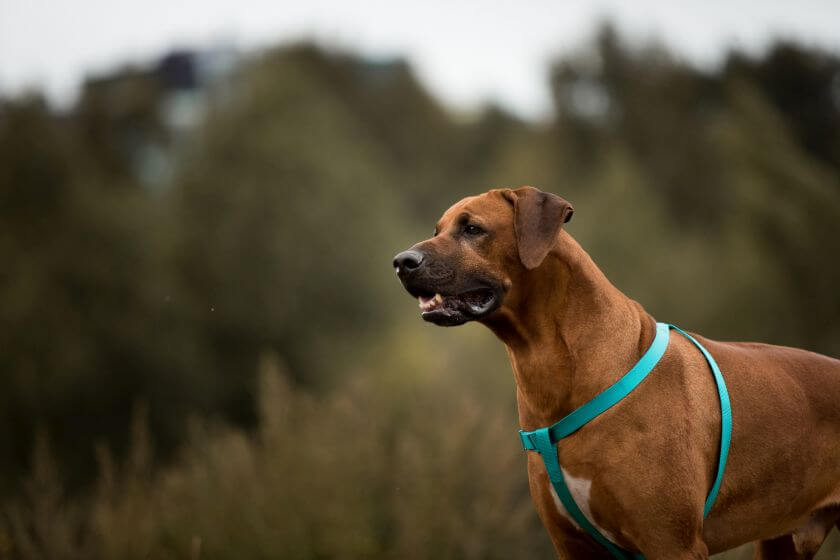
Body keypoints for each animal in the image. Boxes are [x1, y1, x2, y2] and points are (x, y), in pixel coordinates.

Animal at [392, 188, 840, 560]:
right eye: (438, 229)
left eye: (472, 228)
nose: (401, 262)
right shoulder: (573, 546)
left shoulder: (671, 543)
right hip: (781, 542)